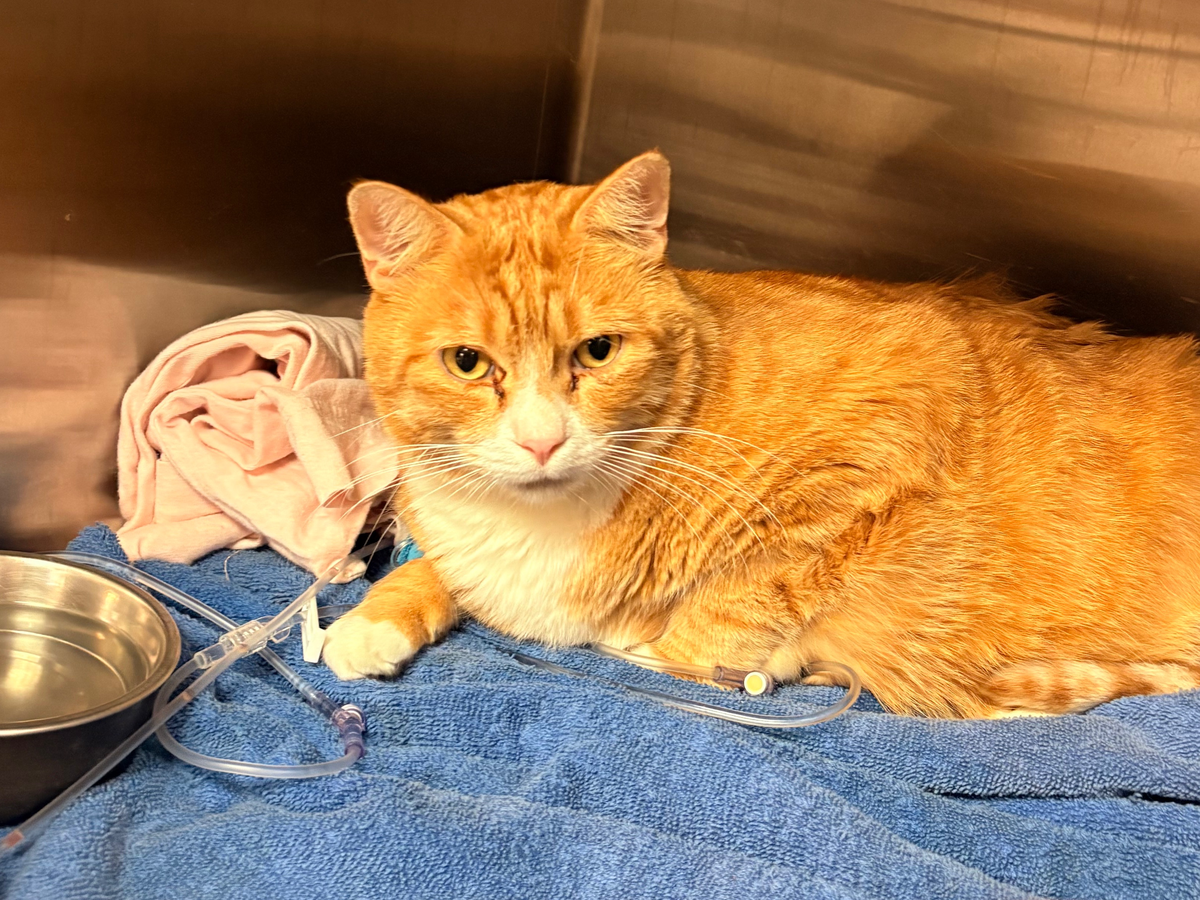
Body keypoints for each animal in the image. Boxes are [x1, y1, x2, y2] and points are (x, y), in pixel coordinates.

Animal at [321, 150, 1200, 718]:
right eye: (468, 362)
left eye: (598, 351)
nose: (542, 442)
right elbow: (438, 570)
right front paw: (371, 619)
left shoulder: (891, 423)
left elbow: (742, 592)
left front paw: (680, 650)